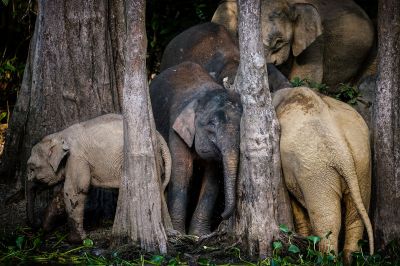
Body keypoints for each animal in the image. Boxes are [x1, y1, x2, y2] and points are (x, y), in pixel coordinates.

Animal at [26, 114, 170, 243]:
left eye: (32, 169)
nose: (36, 224)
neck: (60, 135)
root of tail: (159, 136)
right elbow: (64, 193)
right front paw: (46, 228)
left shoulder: (76, 157)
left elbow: (75, 190)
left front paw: (76, 240)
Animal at [150, 60, 242, 235]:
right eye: (211, 125)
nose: (222, 216)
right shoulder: (176, 131)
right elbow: (181, 173)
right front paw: (179, 232)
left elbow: (212, 179)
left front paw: (199, 234)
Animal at [274, 87, 374, 260]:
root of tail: (342, 151)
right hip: (362, 161)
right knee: (356, 213)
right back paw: (350, 258)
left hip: (317, 169)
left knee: (327, 223)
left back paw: (327, 258)